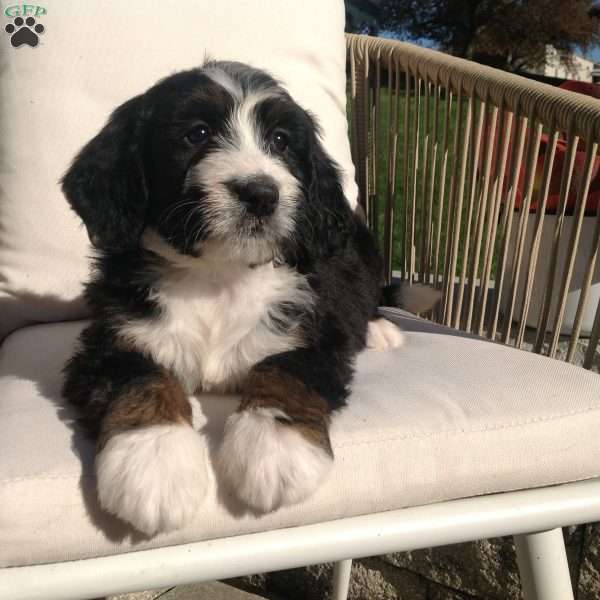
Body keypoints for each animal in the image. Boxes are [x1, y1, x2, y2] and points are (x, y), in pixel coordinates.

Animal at [61, 61, 438, 536]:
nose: (260, 194)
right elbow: (140, 378)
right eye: (197, 133)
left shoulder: (314, 333)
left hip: (362, 250)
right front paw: (154, 462)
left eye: (280, 140)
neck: (218, 275)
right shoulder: (110, 338)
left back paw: (379, 329)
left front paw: (275, 450)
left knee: (370, 294)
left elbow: (285, 372)